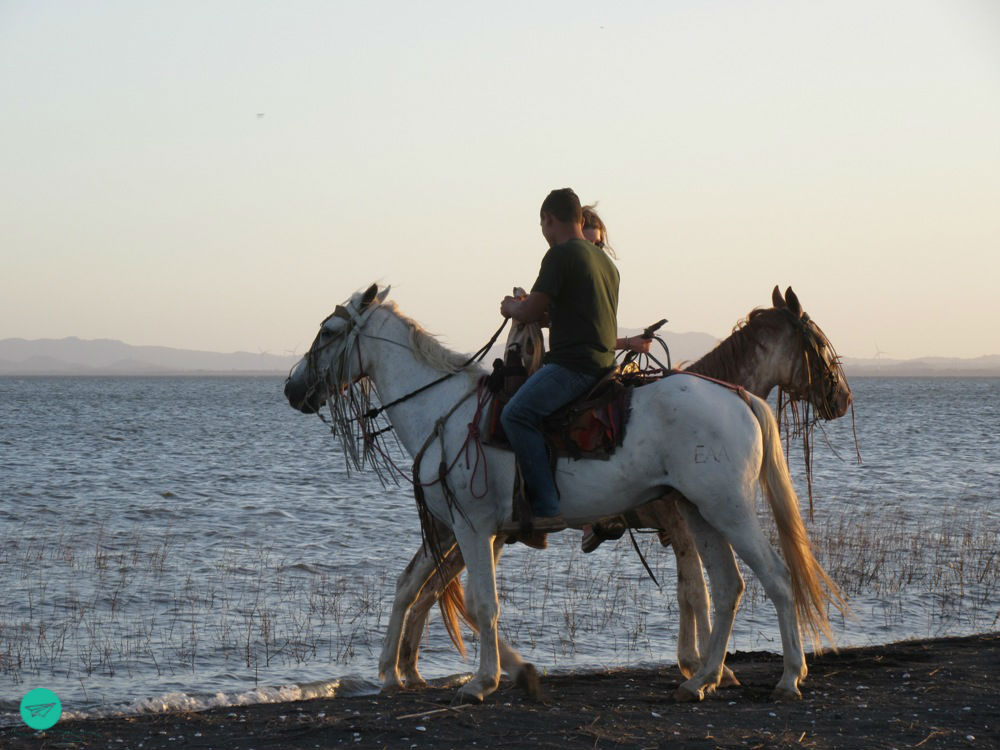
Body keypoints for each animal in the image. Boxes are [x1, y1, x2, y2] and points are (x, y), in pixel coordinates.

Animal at [286, 284, 848, 708]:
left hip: (726, 510)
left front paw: (481, 682)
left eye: (328, 332)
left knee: (775, 578)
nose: (292, 389)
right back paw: (701, 680)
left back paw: (785, 677)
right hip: (702, 512)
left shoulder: (473, 528)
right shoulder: (471, 531)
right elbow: (461, 599)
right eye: (814, 341)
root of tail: (738, 396)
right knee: (730, 586)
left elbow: (483, 603)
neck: (442, 410)